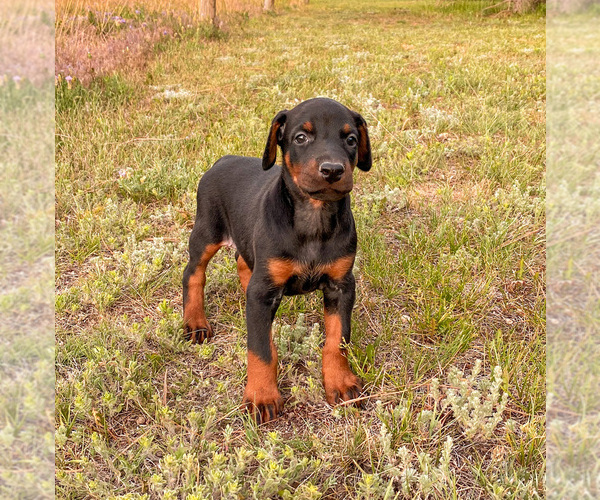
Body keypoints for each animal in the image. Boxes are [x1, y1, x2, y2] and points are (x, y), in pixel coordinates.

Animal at [182, 96, 370, 422]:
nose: (332, 170)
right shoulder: (262, 293)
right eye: (301, 137)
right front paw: (261, 396)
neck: (313, 217)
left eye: (351, 140)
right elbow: (260, 349)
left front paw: (341, 382)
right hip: (206, 232)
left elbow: (338, 340)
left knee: (242, 260)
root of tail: (223, 160)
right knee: (193, 273)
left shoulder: (341, 286)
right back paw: (195, 322)